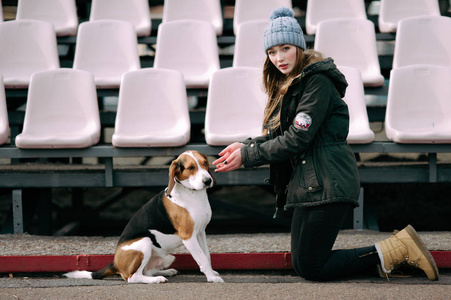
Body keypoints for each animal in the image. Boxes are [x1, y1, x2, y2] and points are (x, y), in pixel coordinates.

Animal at [65, 152, 224, 284]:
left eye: (205, 163)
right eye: (191, 167)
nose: (208, 181)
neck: (193, 194)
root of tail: (115, 263)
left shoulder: (201, 232)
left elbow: (207, 256)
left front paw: (211, 272)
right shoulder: (189, 237)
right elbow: (202, 258)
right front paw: (212, 278)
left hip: (168, 257)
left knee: (146, 271)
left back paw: (165, 272)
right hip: (144, 243)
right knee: (133, 277)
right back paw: (157, 279)